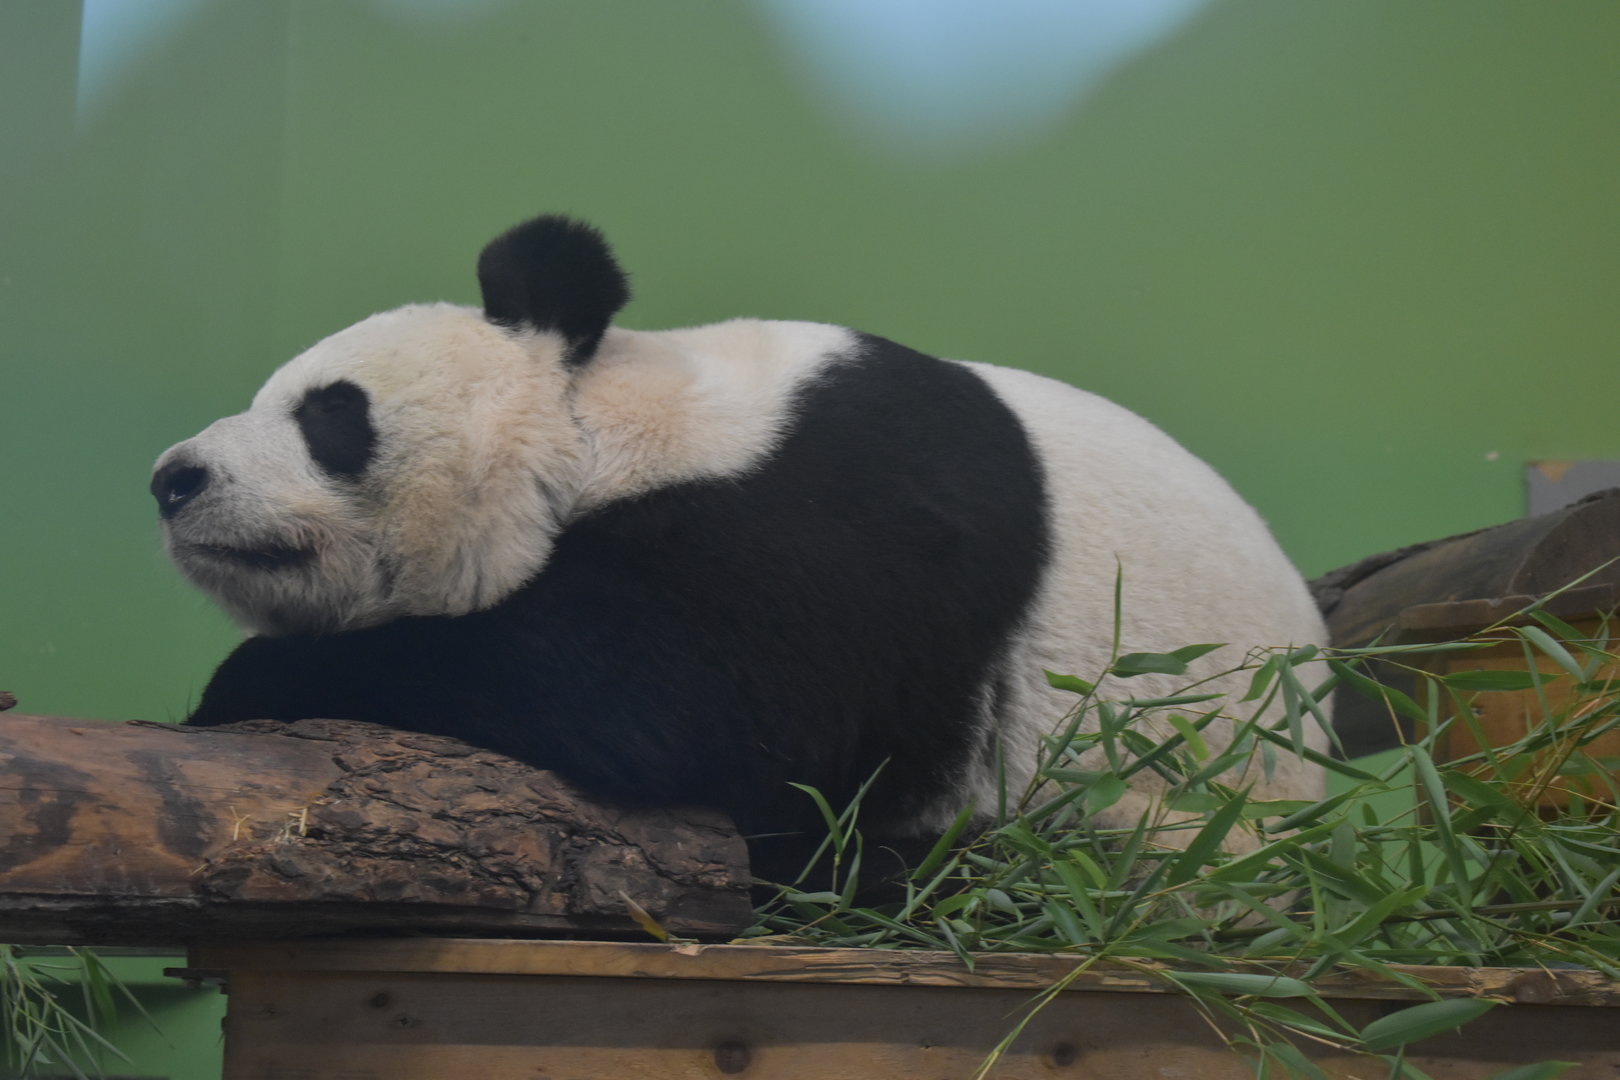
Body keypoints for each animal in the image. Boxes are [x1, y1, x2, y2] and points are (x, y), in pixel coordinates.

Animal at [152, 214, 1327, 875]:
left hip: (1157, 814)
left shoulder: (825, 530)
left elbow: (652, 703)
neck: (608, 430)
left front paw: (240, 686)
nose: (174, 479)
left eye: (330, 416)